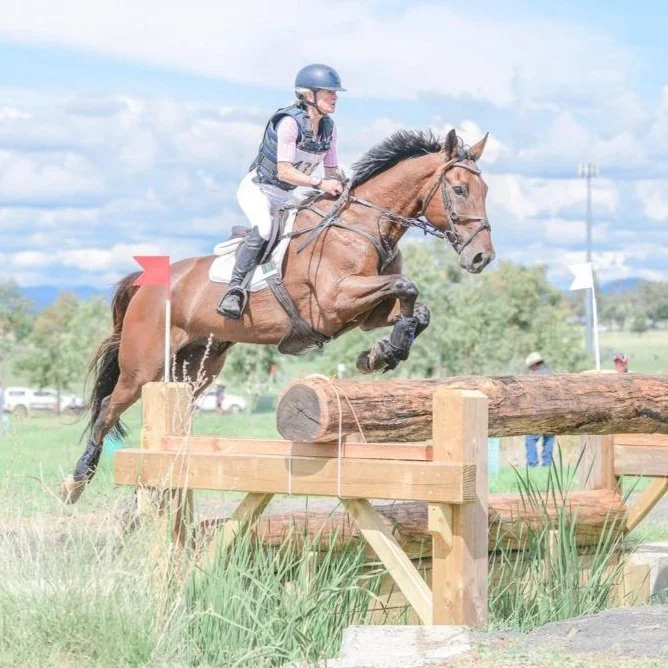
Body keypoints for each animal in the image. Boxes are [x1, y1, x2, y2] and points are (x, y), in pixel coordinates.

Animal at [62, 128, 495, 503]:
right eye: (459, 189)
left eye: (486, 190)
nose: (481, 258)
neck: (363, 226)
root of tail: (146, 283)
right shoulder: (334, 302)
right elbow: (407, 285)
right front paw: (386, 352)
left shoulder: (364, 312)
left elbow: (416, 307)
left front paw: (383, 352)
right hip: (143, 365)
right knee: (107, 408)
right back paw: (76, 481)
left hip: (197, 366)